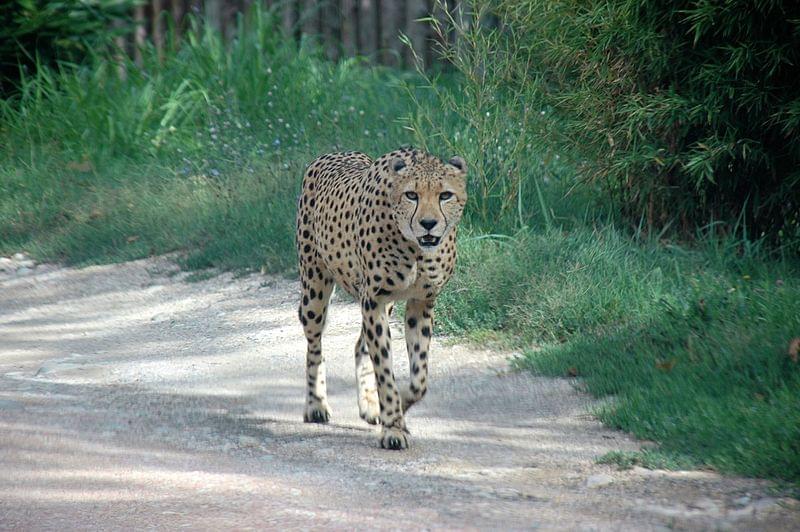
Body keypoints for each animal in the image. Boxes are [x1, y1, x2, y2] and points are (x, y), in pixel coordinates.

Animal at [296, 145, 466, 448]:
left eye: (445, 195)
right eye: (412, 195)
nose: (428, 224)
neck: (415, 248)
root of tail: (334, 153)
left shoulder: (419, 303)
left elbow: (419, 379)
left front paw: (397, 407)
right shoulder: (373, 300)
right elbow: (385, 370)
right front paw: (394, 426)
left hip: (382, 304)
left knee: (359, 346)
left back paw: (370, 404)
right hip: (315, 289)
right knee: (315, 346)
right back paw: (316, 405)